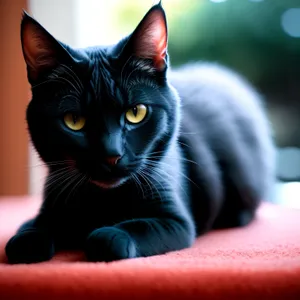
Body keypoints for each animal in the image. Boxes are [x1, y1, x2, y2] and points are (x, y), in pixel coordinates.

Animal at [5, 2, 276, 264]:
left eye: (136, 113)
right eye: (74, 121)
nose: (111, 154)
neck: (103, 199)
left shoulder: (175, 221)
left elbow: (131, 230)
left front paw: (106, 235)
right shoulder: (54, 200)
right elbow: (32, 227)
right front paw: (28, 240)